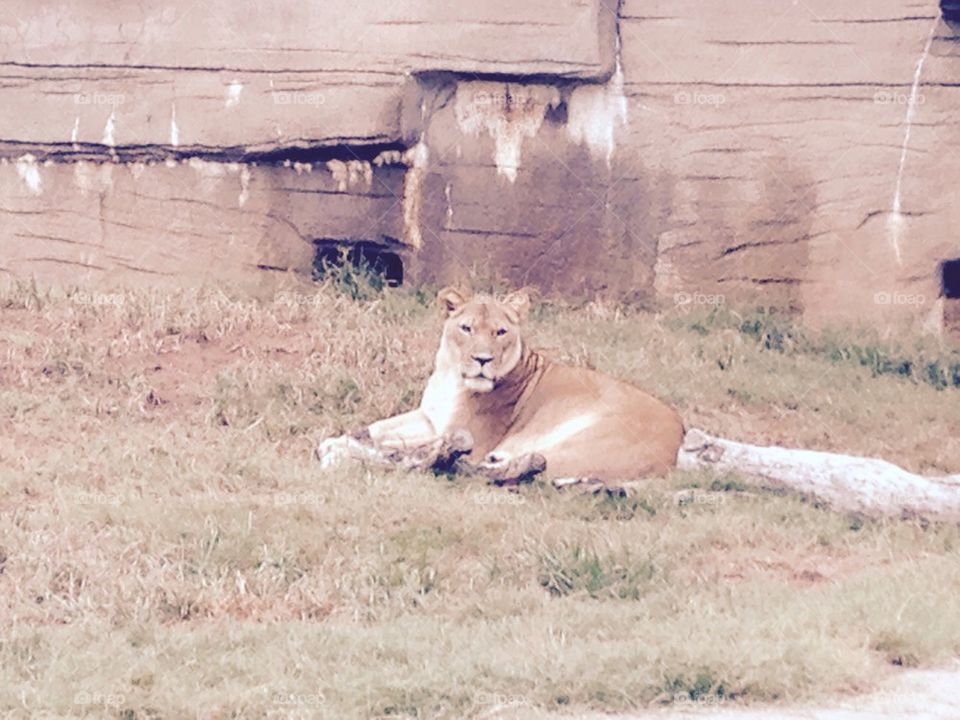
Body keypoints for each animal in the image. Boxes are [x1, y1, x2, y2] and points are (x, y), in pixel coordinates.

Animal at [318, 287, 685, 489]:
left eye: (500, 332)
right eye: (466, 328)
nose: (482, 359)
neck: (452, 376)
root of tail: (675, 446)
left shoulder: (467, 434)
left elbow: (401, 444)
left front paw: (341, 445)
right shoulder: (429, 417)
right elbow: (379, 427)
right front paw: (348, 436)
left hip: (579, 439)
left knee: (486, 468)